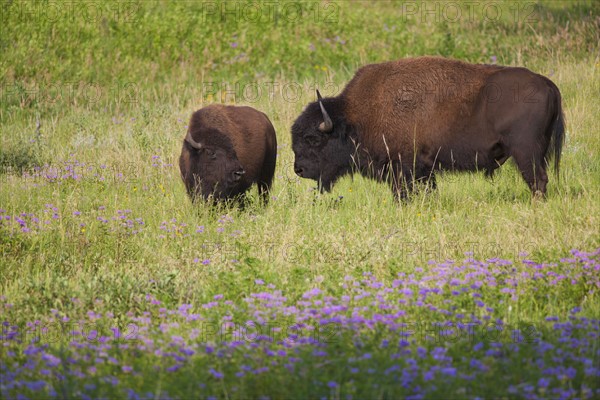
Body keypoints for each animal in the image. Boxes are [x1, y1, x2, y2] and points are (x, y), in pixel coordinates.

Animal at [292, 55, 564, 199]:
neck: (354, 117)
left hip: (525, 152)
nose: (299, 169)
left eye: (313, 138)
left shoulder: (403, 166)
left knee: (537, 179)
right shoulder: (424, 169)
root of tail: (548, 85)